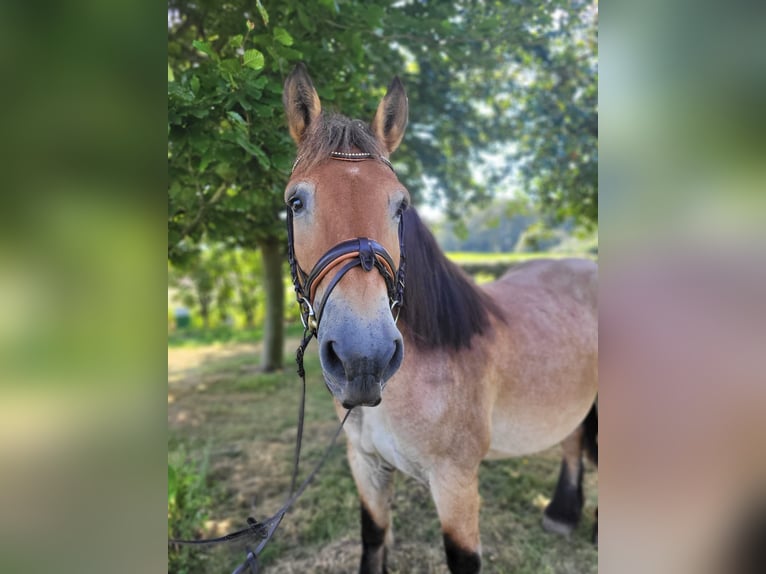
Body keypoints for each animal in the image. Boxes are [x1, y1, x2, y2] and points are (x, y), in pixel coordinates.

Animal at [282, 63, 600, 574]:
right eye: (296, 202)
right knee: (571, 441)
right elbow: (373, 538)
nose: (363, 358)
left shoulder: (455, 483)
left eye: (401, 205)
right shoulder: (366, 465)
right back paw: (562, 513)